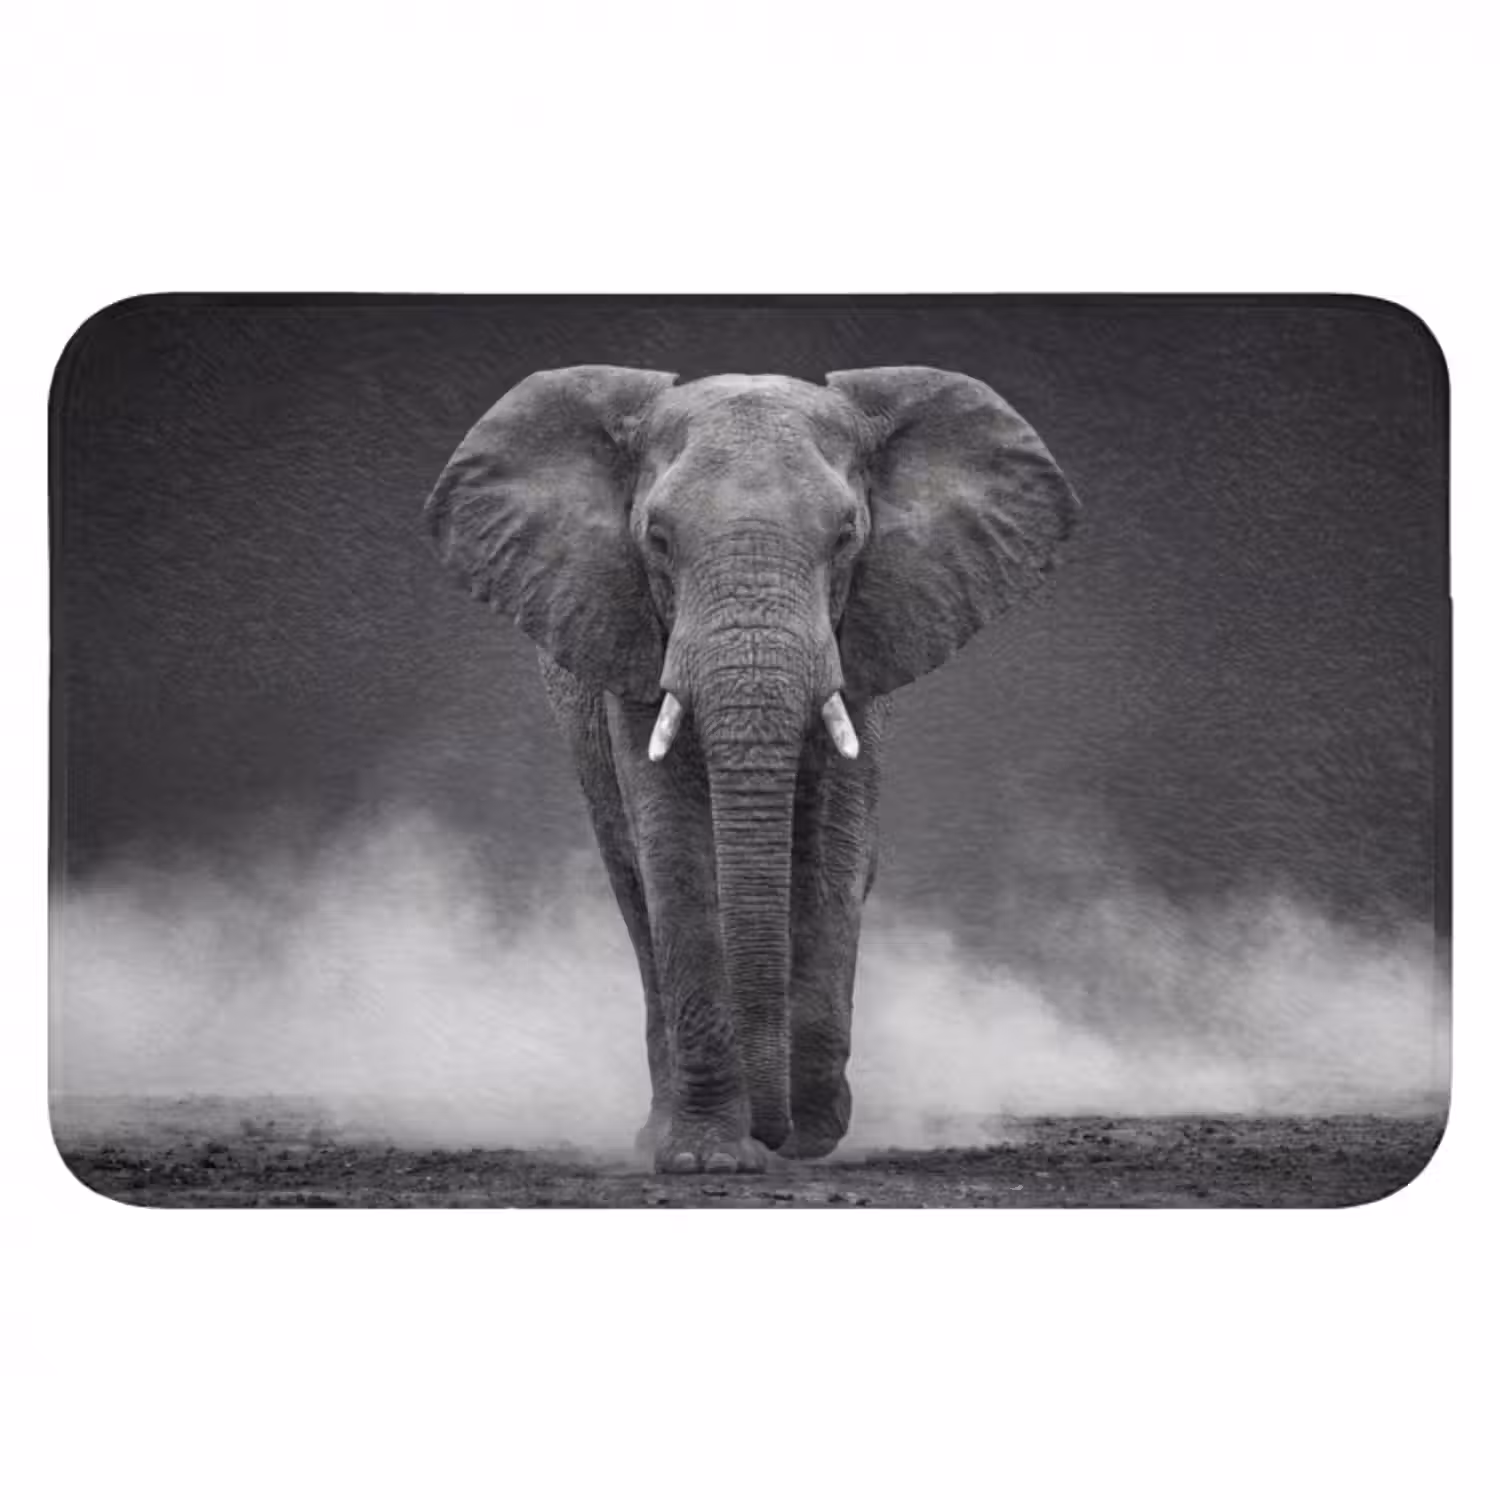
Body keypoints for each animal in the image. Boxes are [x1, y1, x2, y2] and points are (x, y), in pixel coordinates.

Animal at [424, 365, 1079, 1172]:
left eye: (846, 537)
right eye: (658, 539)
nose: (776, 1133)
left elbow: (834, 853)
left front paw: (812, 1134)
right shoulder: (632, 638)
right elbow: (674, 854)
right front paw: (706, 1158)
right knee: (633, 888)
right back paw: (659, 1132)